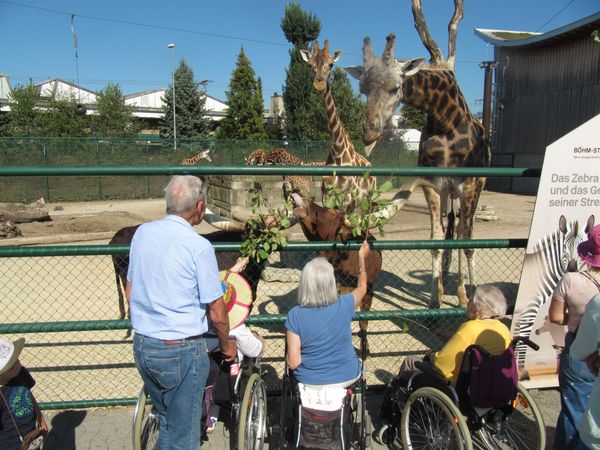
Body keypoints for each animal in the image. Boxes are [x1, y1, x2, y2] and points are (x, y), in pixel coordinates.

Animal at [300, 40, 376, 213]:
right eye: (310, 65)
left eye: (331, 64)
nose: (320, 83)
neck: (338, 152)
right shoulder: (327, 198)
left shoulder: (347, 201)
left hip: (368, 201)